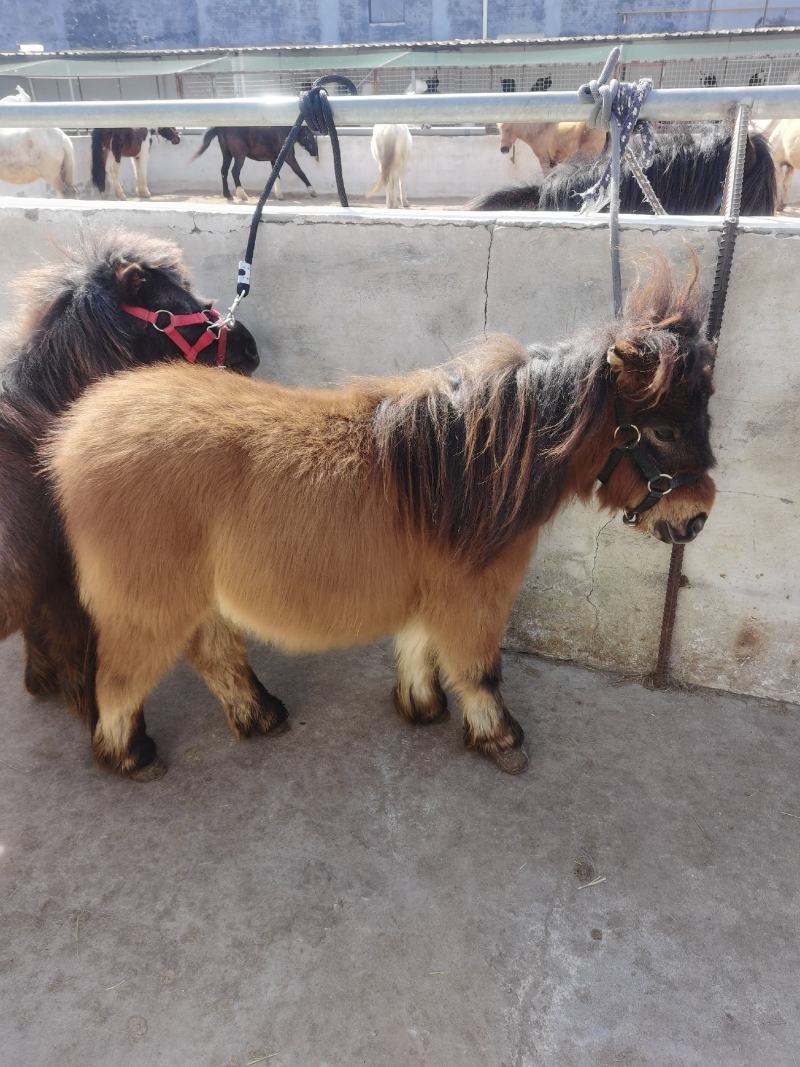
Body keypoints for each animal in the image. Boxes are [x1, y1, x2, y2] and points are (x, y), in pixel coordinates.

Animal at [46, 260, 716, 781]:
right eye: (661, 431)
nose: (698, 517)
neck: (464, 466)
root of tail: (78, 434)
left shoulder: (432, 592)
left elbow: (419, 648)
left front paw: (421, 708)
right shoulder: (474, 596)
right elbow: (480, 670)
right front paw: (500, 739)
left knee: (214, 652)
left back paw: (259, 716)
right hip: (148, 600)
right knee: (121, 677)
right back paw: (130, 756)